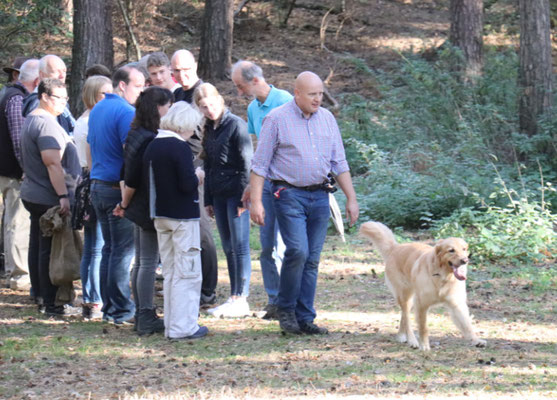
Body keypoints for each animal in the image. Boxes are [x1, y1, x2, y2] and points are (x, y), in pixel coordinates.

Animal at [360, 222, 482, 350]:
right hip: (405, 295)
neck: (442, 276)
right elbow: (423, 328)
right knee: (406, 317)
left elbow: (467, 324)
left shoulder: (456, 303)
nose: (465, 260)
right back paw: (412, 340)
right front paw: (424, 345)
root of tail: (395, 247)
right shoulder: (422, 304)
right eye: (451, 250)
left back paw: (401, 336)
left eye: (464, 249)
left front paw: (476, 340)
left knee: (404, 317)